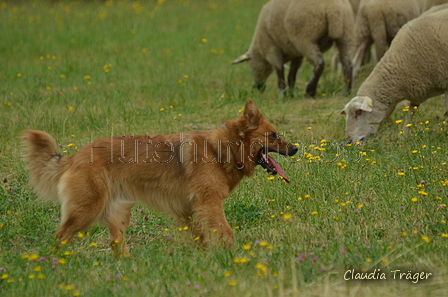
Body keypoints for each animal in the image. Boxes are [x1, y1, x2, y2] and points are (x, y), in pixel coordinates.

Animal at [22, 99, 300, 254]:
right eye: (273, 136)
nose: (296, 148)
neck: (224, 148)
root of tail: (75, 156)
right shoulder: (209, 204)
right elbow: (225, 232)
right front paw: (234, 256)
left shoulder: (189, 210)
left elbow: (201, 238)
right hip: (86, 210)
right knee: (61, 237)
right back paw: (61, 264)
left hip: (117, 213)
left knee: (116, 244)